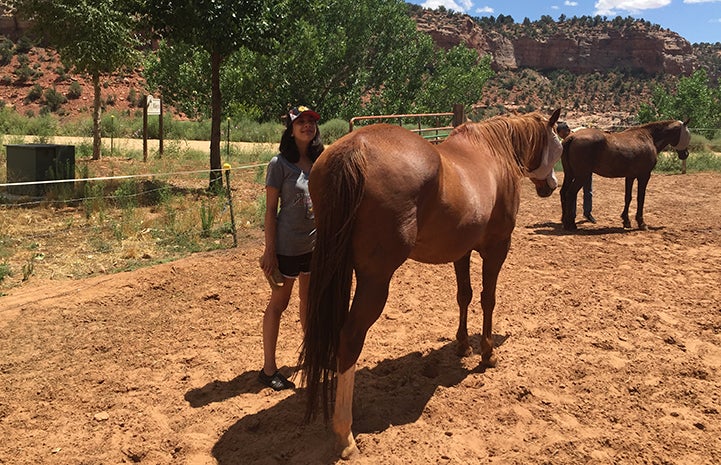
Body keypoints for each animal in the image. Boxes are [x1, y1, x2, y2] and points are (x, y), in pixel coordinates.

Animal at [298, 108, 564, 456]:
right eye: (559, 147)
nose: (552, 185)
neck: (493, 153)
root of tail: (355, 149)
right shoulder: (497, 248)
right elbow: (488, 298)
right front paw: (487, 352)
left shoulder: (461, 251)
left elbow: (464, 295)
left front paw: (463, 344)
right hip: (375, 281)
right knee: (350, 337)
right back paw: (345, 434)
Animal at [560, 118, 688, 230]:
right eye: (686, 133)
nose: (685, 154)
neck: (648, 138)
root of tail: (572, 137)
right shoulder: (644, 176)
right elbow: (640, 198)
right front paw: (641, 223)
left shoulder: (630, 176)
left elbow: (628, 197)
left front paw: (626, 221)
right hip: (581, 176)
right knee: (570, 193)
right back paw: (571, 224)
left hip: (570, 174)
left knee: (563, 192)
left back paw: (564, 221)